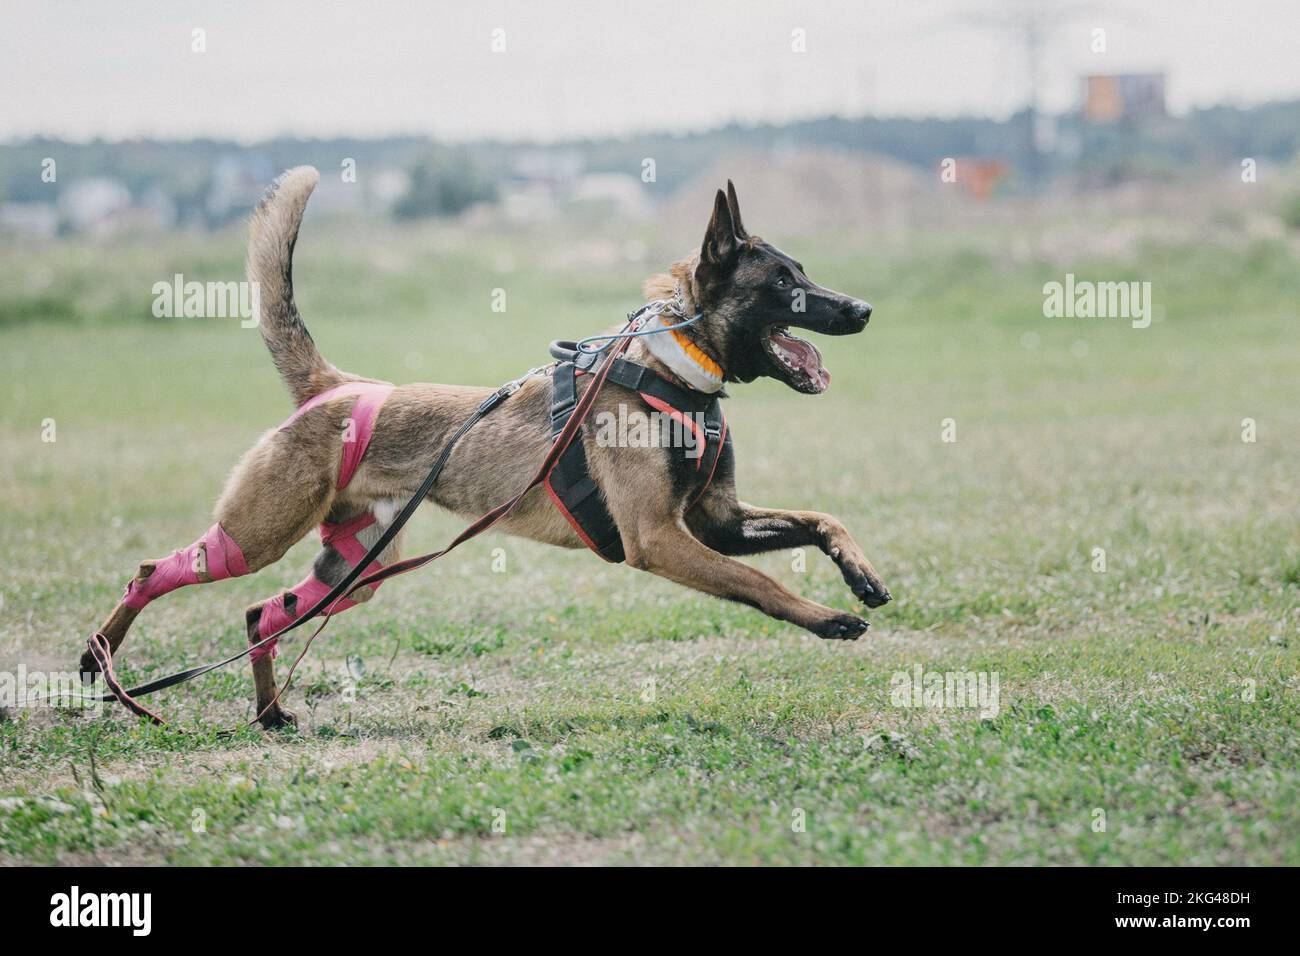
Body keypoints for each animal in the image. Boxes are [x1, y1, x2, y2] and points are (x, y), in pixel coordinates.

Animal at [81, 167, 889, 728]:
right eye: (783, 282)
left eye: (804, 271)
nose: (863, 308)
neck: (672, 369)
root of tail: (334, 386)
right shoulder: (661, 539)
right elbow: (758, 584)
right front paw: (828, 617)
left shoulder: (715, 521)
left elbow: (823, 520)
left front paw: (861, 576)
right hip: (258, 535)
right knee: (156, 570)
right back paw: (101, 661)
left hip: (354, 568)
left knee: (261, 616)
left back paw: (268, 712)